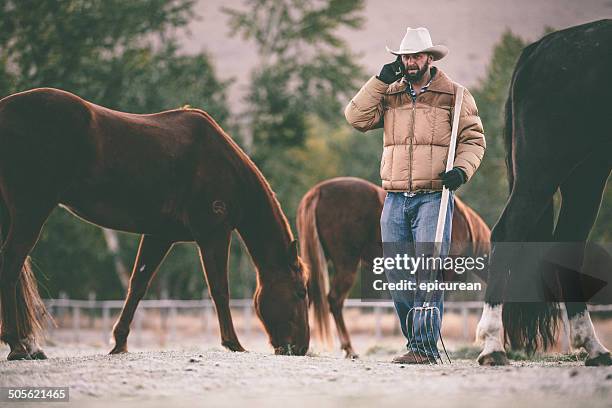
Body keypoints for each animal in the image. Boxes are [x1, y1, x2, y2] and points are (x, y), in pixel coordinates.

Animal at [0, 87, 308, 360]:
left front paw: (119, 343)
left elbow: (138, 285)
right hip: (32, 210)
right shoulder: (214, 234)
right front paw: (234, 343)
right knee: (11, 264)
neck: (223, 164)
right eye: (300, 291)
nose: (302, 348)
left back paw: (27, 345)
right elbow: (220, 289)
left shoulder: (159, 235)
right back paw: (18, 345)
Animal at [478, 19, 612, 366]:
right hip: (547, 166)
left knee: (567, 244)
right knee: (508, 233)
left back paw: (593, 347)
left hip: (587, 171)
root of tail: (537, 50)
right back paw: (493, 345)